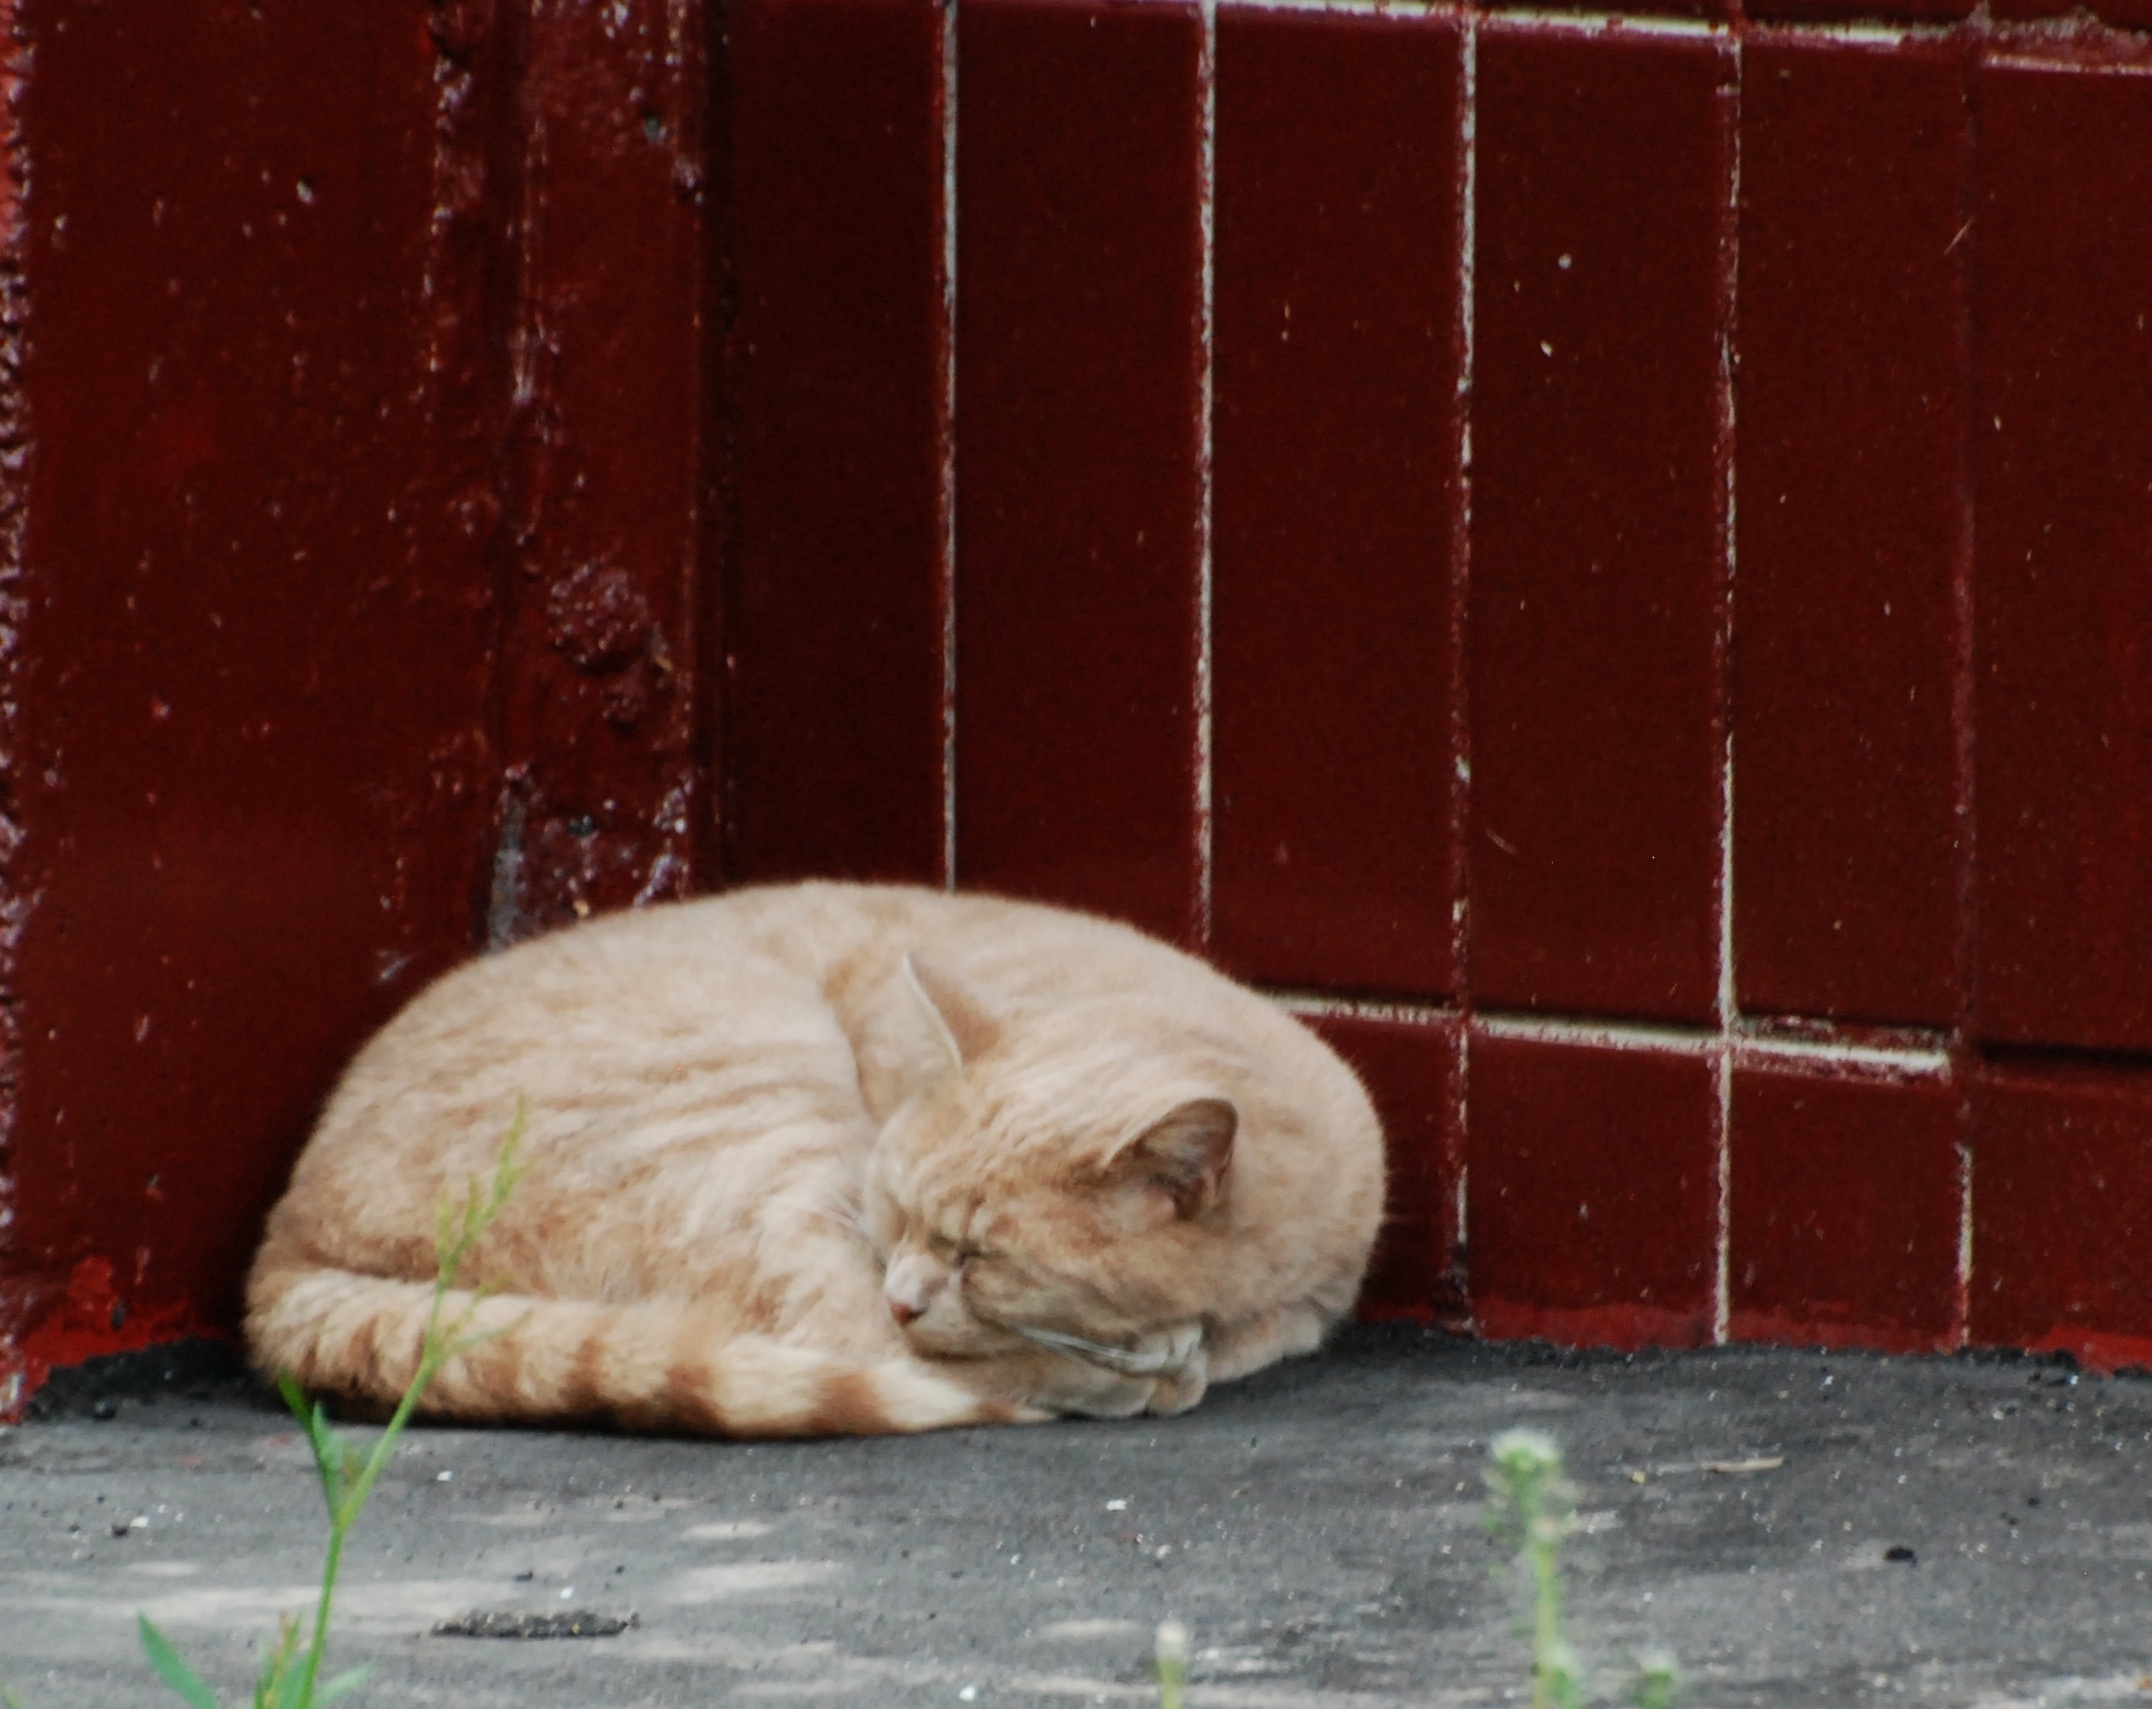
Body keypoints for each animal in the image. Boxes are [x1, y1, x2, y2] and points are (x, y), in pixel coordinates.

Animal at [244, 886, 1385, 1429]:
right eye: (900, 1208)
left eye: (981, 1256)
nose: (908, 1292)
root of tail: (285, 1234)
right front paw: (1154, 1355)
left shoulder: (1310, 1292)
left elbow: (1273, 1329)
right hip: (760, 1096)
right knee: (847, 1340)